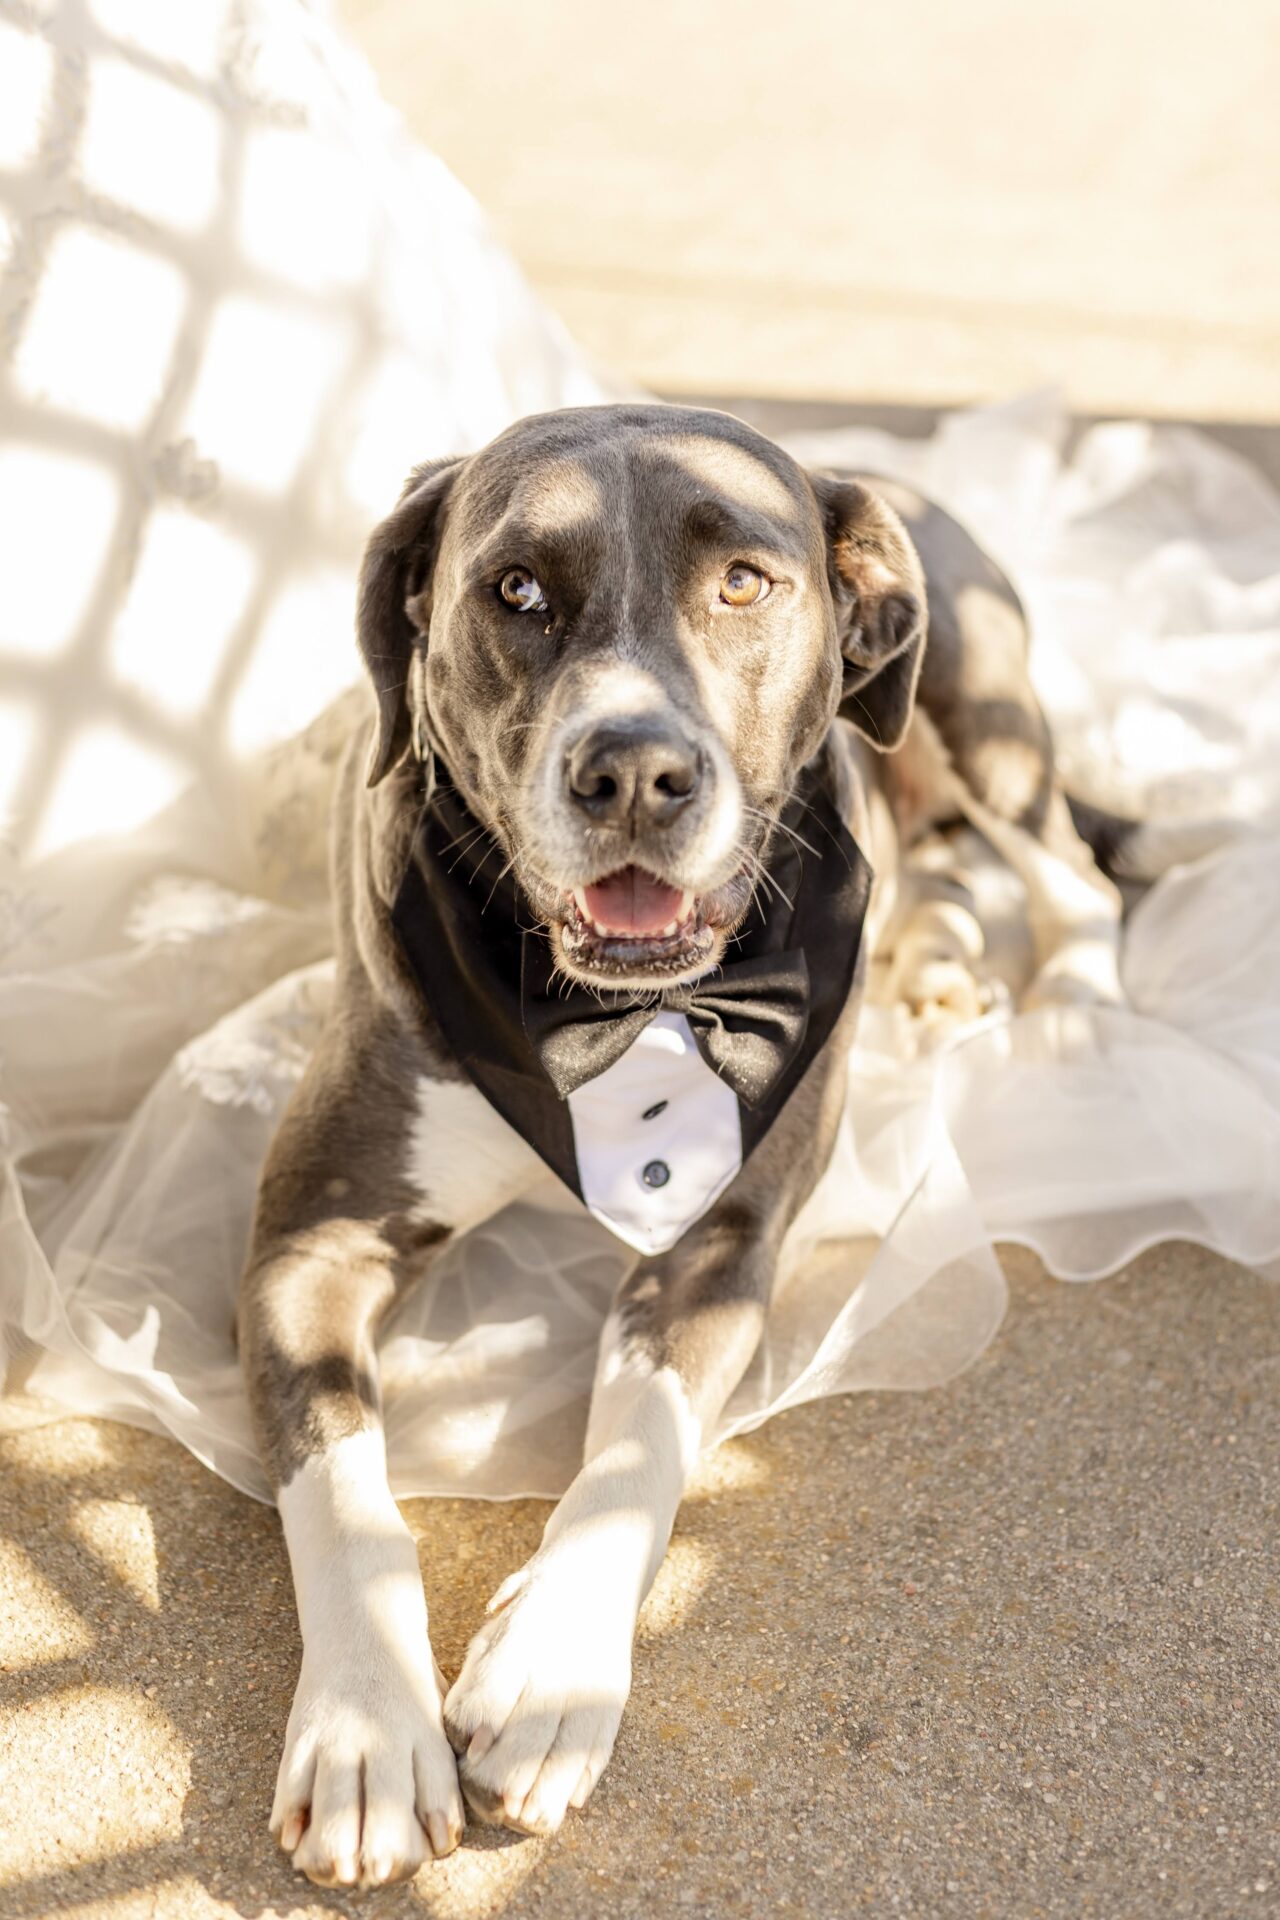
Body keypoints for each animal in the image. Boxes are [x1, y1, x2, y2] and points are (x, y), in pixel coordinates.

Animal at [237, 397, 1120, 1881]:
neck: (609, 1010)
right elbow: (343, 1487)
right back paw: (937, 967)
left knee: (1072, 871)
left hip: (979, 713)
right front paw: (365, 1727)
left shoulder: (721, 1245)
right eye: (514, 590)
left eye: (745, 583)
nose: (636, 772)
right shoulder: (311, 1244)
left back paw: (1079, 1006)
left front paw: (551, 1663)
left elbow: (636, 1443)